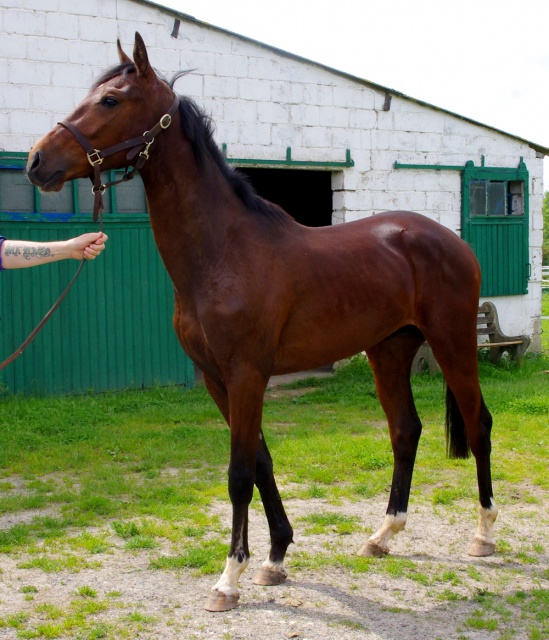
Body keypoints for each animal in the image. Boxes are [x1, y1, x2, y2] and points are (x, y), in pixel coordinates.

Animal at [25, 33, 496, 608]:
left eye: (111, 100)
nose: (37, 161)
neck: (225, 253)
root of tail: (452, 240)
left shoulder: (248, 374)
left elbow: (238, 472)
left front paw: (228, 578)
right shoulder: (217, 378)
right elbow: (263, 462)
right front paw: (274, 558)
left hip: (452, 343)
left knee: (478, 424)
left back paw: (483, 535)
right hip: (389, 350)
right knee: (405, 431)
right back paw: (382, 536)